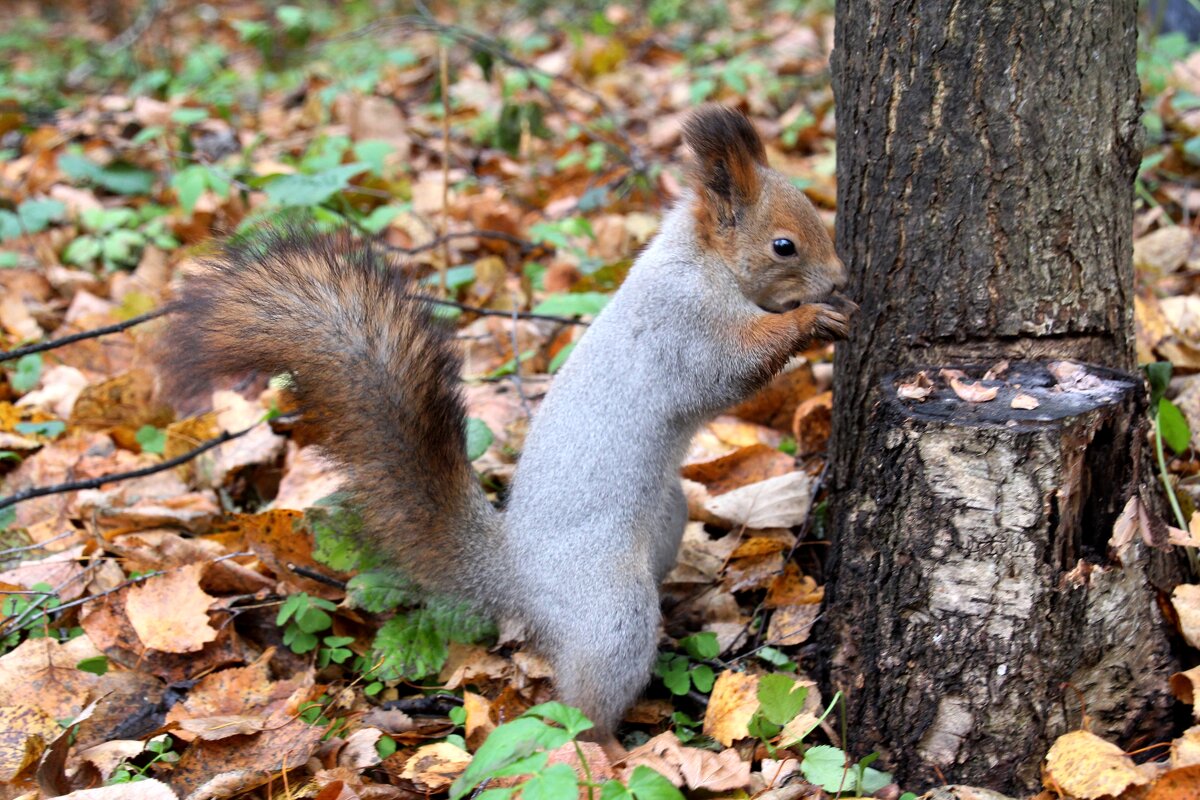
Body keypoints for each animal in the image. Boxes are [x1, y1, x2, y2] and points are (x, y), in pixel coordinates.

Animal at [157, 104, 854, 743]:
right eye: (784, 245)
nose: (841, 280)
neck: (700, 261)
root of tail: (517, 572)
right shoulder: (683, 328)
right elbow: (732, 368)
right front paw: (813, 322)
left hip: (665, 517)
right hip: (608, 608)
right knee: (585, 701)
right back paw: (610, 750)